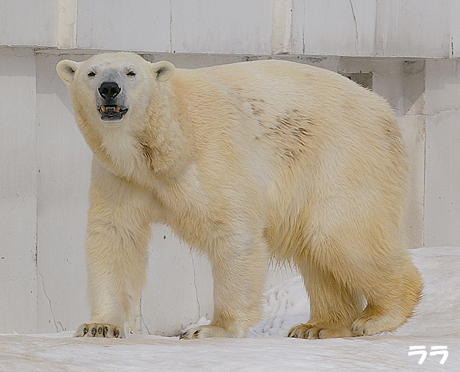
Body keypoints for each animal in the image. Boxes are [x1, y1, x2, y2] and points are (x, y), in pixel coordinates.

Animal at [56, 52, 420, 340]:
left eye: (131, 72)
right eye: (91, 73)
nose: (109, 88)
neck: (165, 144)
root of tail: (383, 109)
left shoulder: (213, 153)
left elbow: (234, 229)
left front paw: (210, 329)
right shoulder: (120, 176)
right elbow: (115, 235)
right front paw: (99, 325)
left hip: (343, 157)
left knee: (338, 233)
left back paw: (377, 316)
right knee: (317, 250)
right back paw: (319, 326)